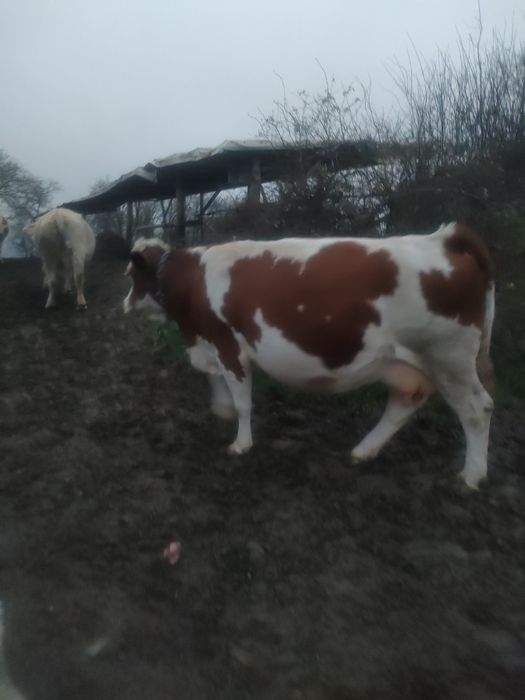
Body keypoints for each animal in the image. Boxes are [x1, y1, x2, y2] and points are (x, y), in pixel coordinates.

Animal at [123, 223, 495, 489]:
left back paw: (471, 476)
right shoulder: (208, 344)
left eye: (131, 275)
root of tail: (444, 237)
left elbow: (243, 402)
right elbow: (212, 378)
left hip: (450, 358)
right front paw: (221, 408)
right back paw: (363, 450)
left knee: (477, 410)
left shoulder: (228, 344)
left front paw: (241, 443)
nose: (124, 304)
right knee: (404, 402)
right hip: (407, 361)